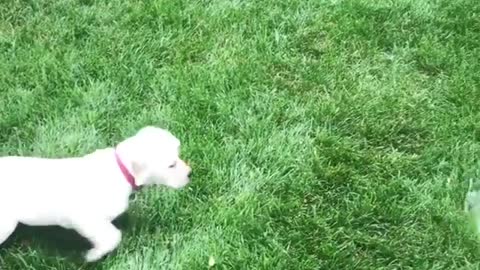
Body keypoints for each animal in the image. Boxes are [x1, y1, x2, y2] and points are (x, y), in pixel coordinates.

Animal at [0, 126, 191, 262]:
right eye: (171, 165)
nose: (190, 173)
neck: (121, 170)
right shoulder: (87, 220)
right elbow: (113, 236)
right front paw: (93, 255)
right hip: (6, 224)